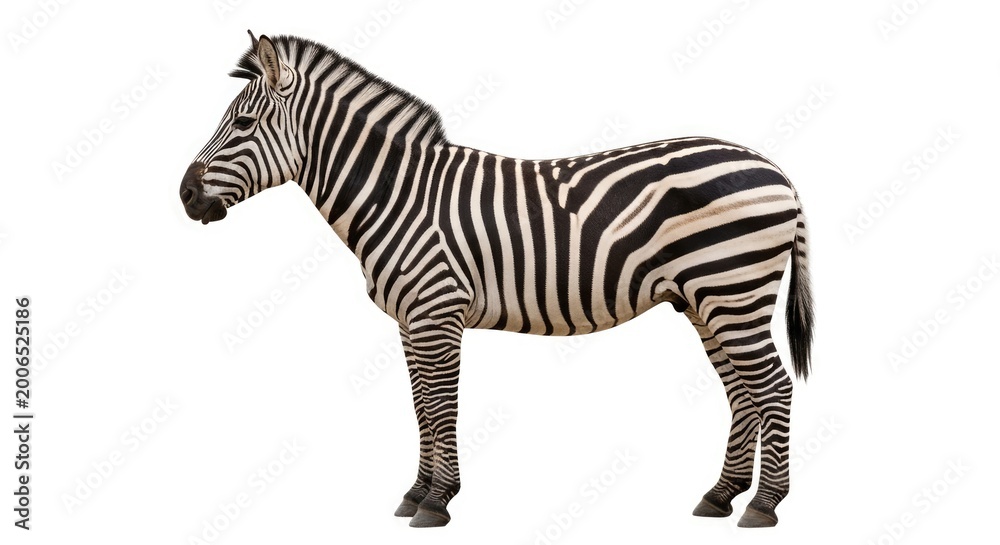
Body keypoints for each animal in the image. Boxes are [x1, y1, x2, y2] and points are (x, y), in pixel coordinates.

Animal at [180, 32, 814, 529]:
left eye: (242, 123)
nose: (184, 195)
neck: (399, 195)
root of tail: (774, 166)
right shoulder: (412, 321)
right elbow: (420, 406)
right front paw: (417, 493)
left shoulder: (437, 311)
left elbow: (441, 406)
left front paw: (436, 501)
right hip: (707, 300)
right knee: (743, 392)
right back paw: (720, 496)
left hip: (732, 290)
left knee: (774, 387)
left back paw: (764, 505)